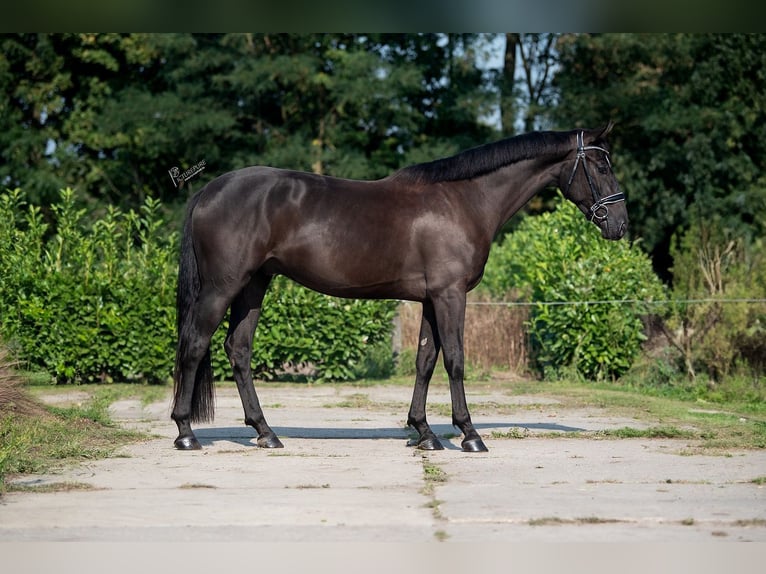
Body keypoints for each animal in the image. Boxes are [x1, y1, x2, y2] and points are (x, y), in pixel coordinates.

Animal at [174, 122, 632, 454]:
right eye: (602, 166)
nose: (620, 224)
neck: (463, 200)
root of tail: (208, 190)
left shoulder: (431, 299)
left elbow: (425, 360)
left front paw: (425, 433)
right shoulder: (450, 295)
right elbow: (456, 360)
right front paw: (470, 434)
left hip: (254, 286)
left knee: (238, 349)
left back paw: (265, 432)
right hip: (223, 287)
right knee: (195, 343)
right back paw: (186, 433)